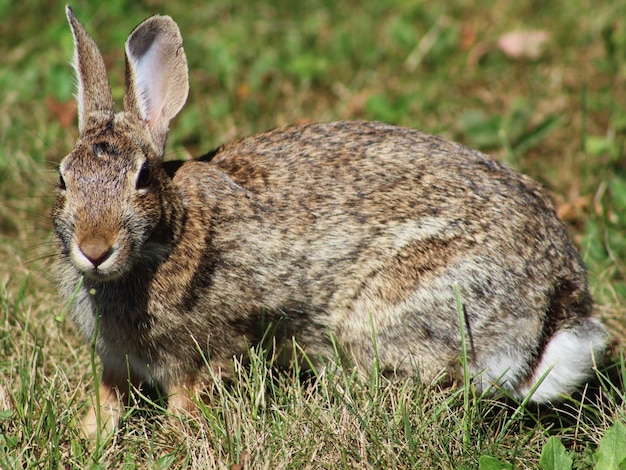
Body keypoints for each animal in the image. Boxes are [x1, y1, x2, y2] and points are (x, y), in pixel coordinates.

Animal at [54, 5, 604, 436]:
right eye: (63, 178)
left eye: (143, 177)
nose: (94, 249)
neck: (169, 233)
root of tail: (557, 297)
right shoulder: (114, 361)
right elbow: (108, 398)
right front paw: (91, 435)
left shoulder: (204, 351)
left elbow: (188, 399)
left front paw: (176, 437)